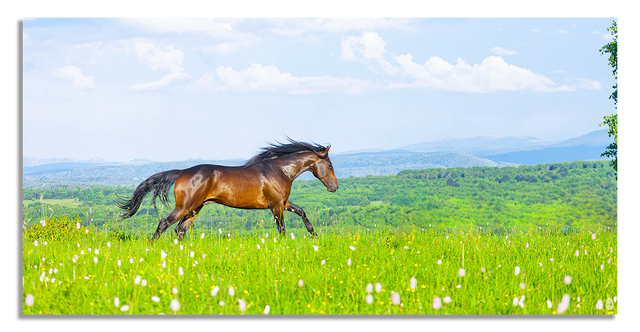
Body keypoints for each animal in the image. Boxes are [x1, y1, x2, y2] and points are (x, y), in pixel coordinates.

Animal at [119, 137, 340, 244]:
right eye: (329, 165)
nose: (334, 187)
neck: (279, 170)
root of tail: (181, 172)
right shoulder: (276, 206)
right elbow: (282, 229)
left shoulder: (283, 203)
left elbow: (302, 212)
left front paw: (315, 236)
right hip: (185, 207)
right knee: (164, 223)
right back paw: (151, 247)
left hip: (195, 208)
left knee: (180, 229)